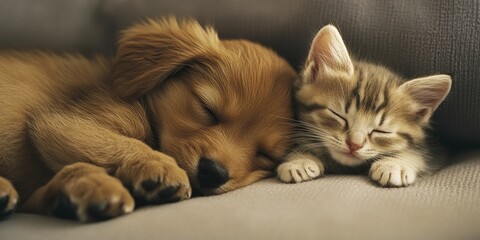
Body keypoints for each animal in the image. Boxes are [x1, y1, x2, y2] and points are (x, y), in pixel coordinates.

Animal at [0, 18, 296, 221]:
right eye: (207, 109)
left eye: (266, 155)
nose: (213, 172)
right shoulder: (63, 122)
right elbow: (124, 144)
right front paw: (157, 165)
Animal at [278, 25, 450, 188]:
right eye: (338, 115)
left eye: (382, 131)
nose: (354, 145)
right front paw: (299, 160)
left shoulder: (437, 150)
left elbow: (418, 154)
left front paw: (395, 164)